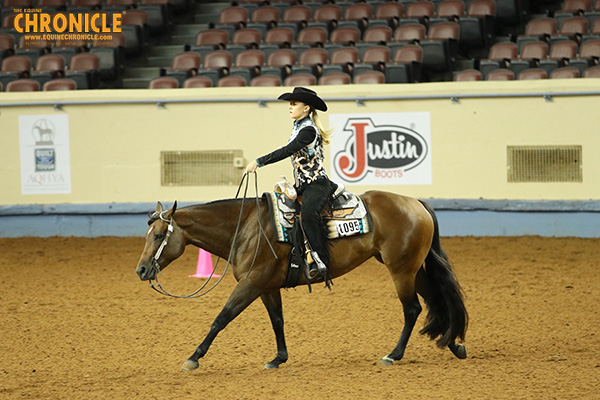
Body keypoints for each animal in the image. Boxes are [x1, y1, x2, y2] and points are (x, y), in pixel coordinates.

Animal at [136, 189, 468, 370]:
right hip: (415, 269)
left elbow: (221, 318)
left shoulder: (250, 284)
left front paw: (193, 357)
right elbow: (277, 321)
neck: (247, 227)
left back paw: (393, 355)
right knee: (437, 301)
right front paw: (278, 358)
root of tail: (416, 203)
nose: (141, 270)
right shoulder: (267, 287)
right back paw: (453, 344)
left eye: (158, 235)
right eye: (147, 234)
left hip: (401, 270)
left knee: (412, 309)